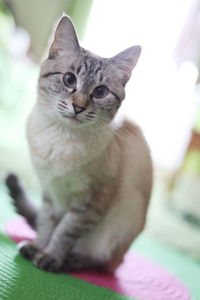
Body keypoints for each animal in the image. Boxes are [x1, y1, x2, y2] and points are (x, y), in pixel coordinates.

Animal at [5, 15, 152, 274]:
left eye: (100, 92)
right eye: (69, 79)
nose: (79, 106)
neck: (60, 140)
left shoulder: (87, 203)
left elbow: (63, 233)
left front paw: (49, 258)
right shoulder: (50, 193)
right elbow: (46, 224)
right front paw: (37, 248)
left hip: (123, 219)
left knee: (102, 262)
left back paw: (70, 261)